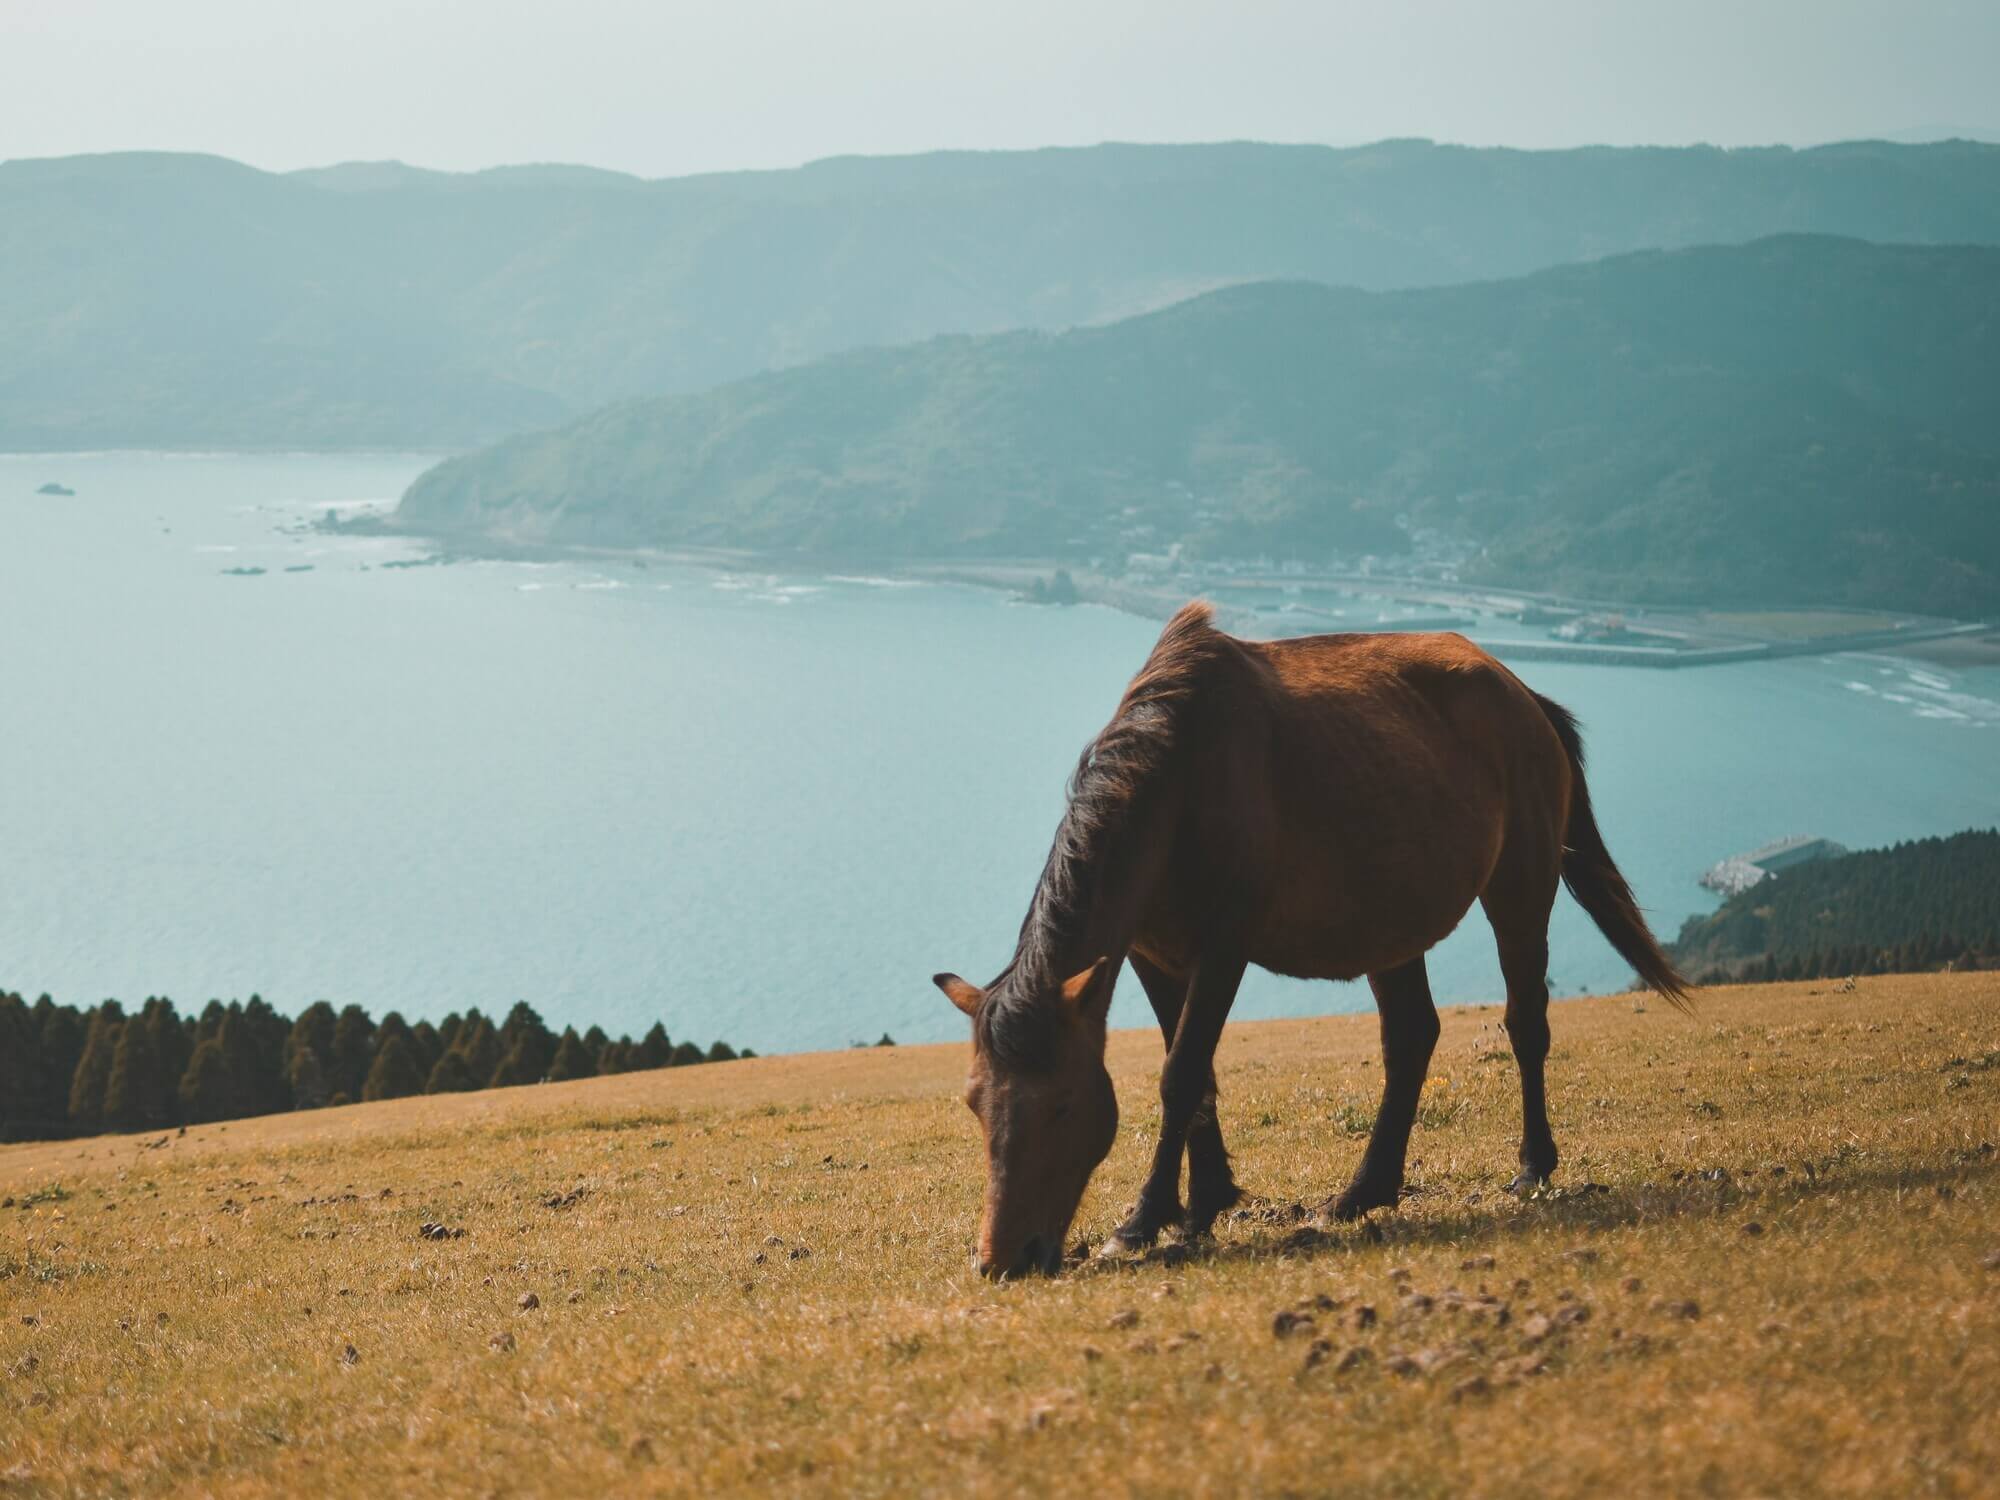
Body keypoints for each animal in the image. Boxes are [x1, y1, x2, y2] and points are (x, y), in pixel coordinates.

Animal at [934, 600, 1689, 1278]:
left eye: (1062, 1105)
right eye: (975, 1104)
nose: (1002, 1261)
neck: (1176, 784)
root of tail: (1523, 695)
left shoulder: (1224, 949)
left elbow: (1181, 1075)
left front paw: (1144, 1221)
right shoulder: (1150, 955)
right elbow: (1197, 1077)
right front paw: (1203, 1202)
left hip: (1521, 892)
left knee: (1525, 1023)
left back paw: (1532, 1166)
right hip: (1393, 922)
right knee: (1411, 1036)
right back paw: (1365, 1191)